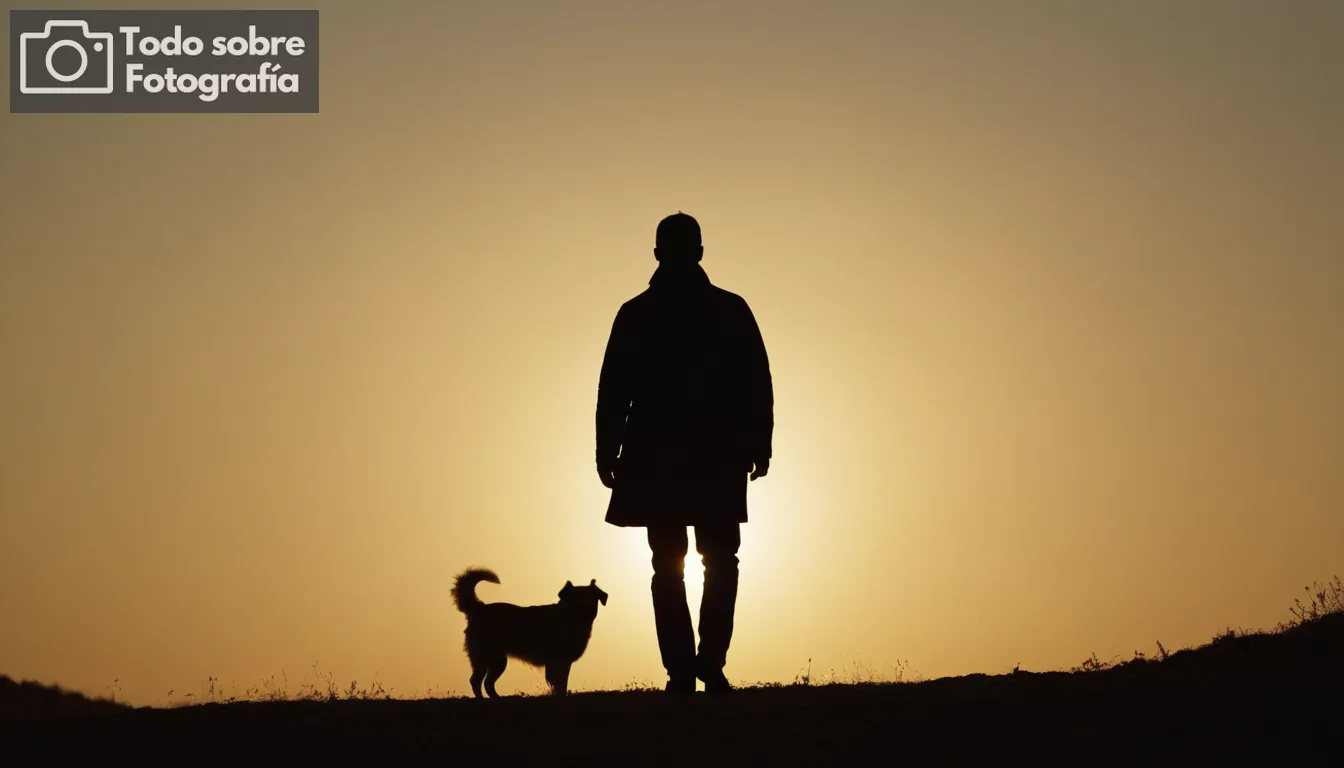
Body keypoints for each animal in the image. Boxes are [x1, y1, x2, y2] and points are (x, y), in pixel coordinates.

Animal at [451, 570, 610, 699]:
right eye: (573, 603)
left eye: (589, 602)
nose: (581, 614)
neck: (568, 620)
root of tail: (480, 608)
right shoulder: (558, 661)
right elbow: (560, 684)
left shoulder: (562, 662)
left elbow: (561, 684)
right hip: (491, 657)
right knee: (477, 681)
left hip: (496, 660)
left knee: (487, 683)